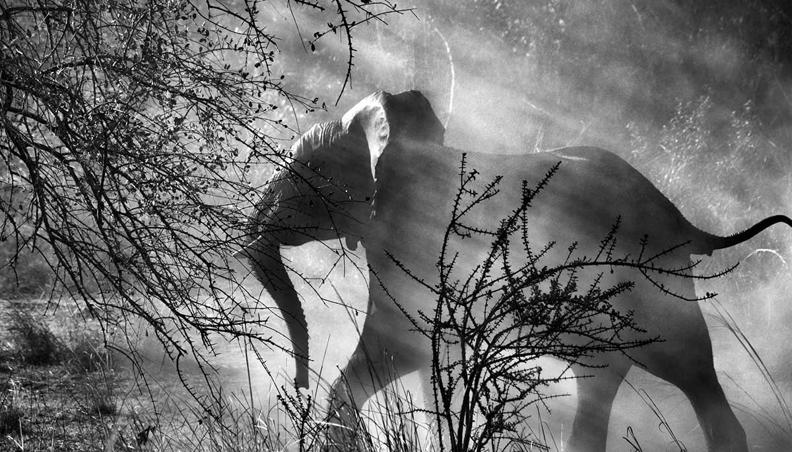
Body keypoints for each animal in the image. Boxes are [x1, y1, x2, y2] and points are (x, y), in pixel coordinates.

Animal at [248, 90, 792, 450]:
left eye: (304, 172)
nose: (295, 384)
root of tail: (684, 219)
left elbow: (401, 345)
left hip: (656, 283)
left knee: (689, 367)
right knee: (600, 381)